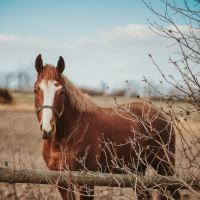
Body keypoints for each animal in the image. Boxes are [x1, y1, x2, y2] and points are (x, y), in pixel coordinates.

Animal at [34, 54, 180, 200]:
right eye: (35, 90)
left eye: (62, 92)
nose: (47, 129)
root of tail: (162, 116)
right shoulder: (61, 182)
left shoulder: (86, 184)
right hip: (137, 171)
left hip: (165, 168)